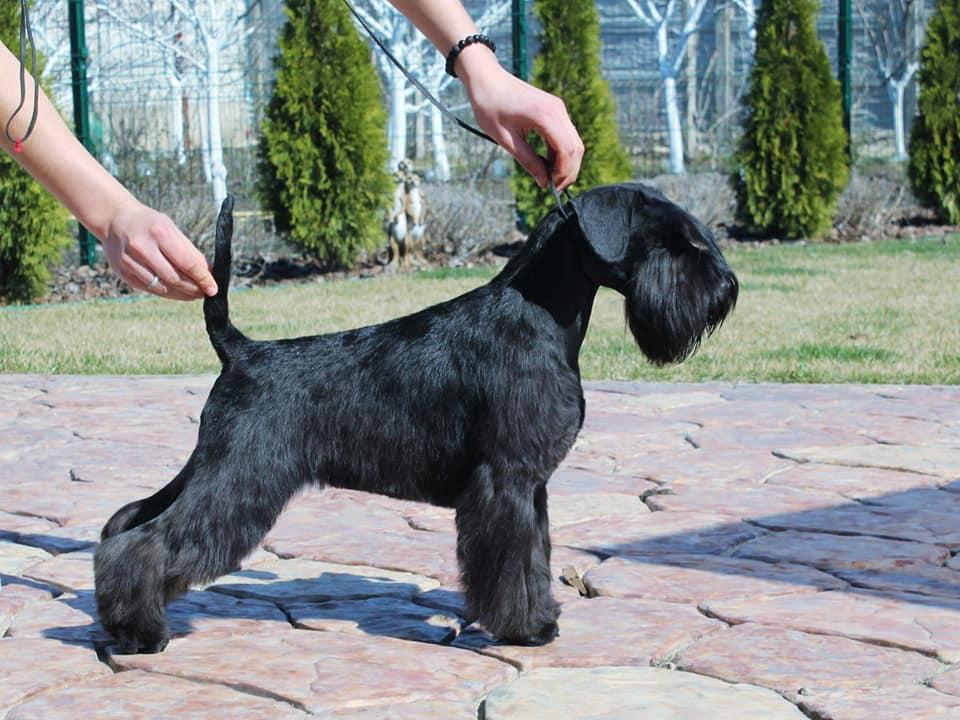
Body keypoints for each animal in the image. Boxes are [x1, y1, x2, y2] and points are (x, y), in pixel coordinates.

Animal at [95, 184, 738, 654]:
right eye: (673, 243)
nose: (726, 290)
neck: (540, 314)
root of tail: (241, 351)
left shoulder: (531, 486)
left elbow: (535, 556)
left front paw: (540, 618)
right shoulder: (505, 479)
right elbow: (511, 561)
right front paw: (524, 629)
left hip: (212, 467)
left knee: (126, 523)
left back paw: (118, 620)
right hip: (239, 478)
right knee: (148, 541)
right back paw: (141, 634)